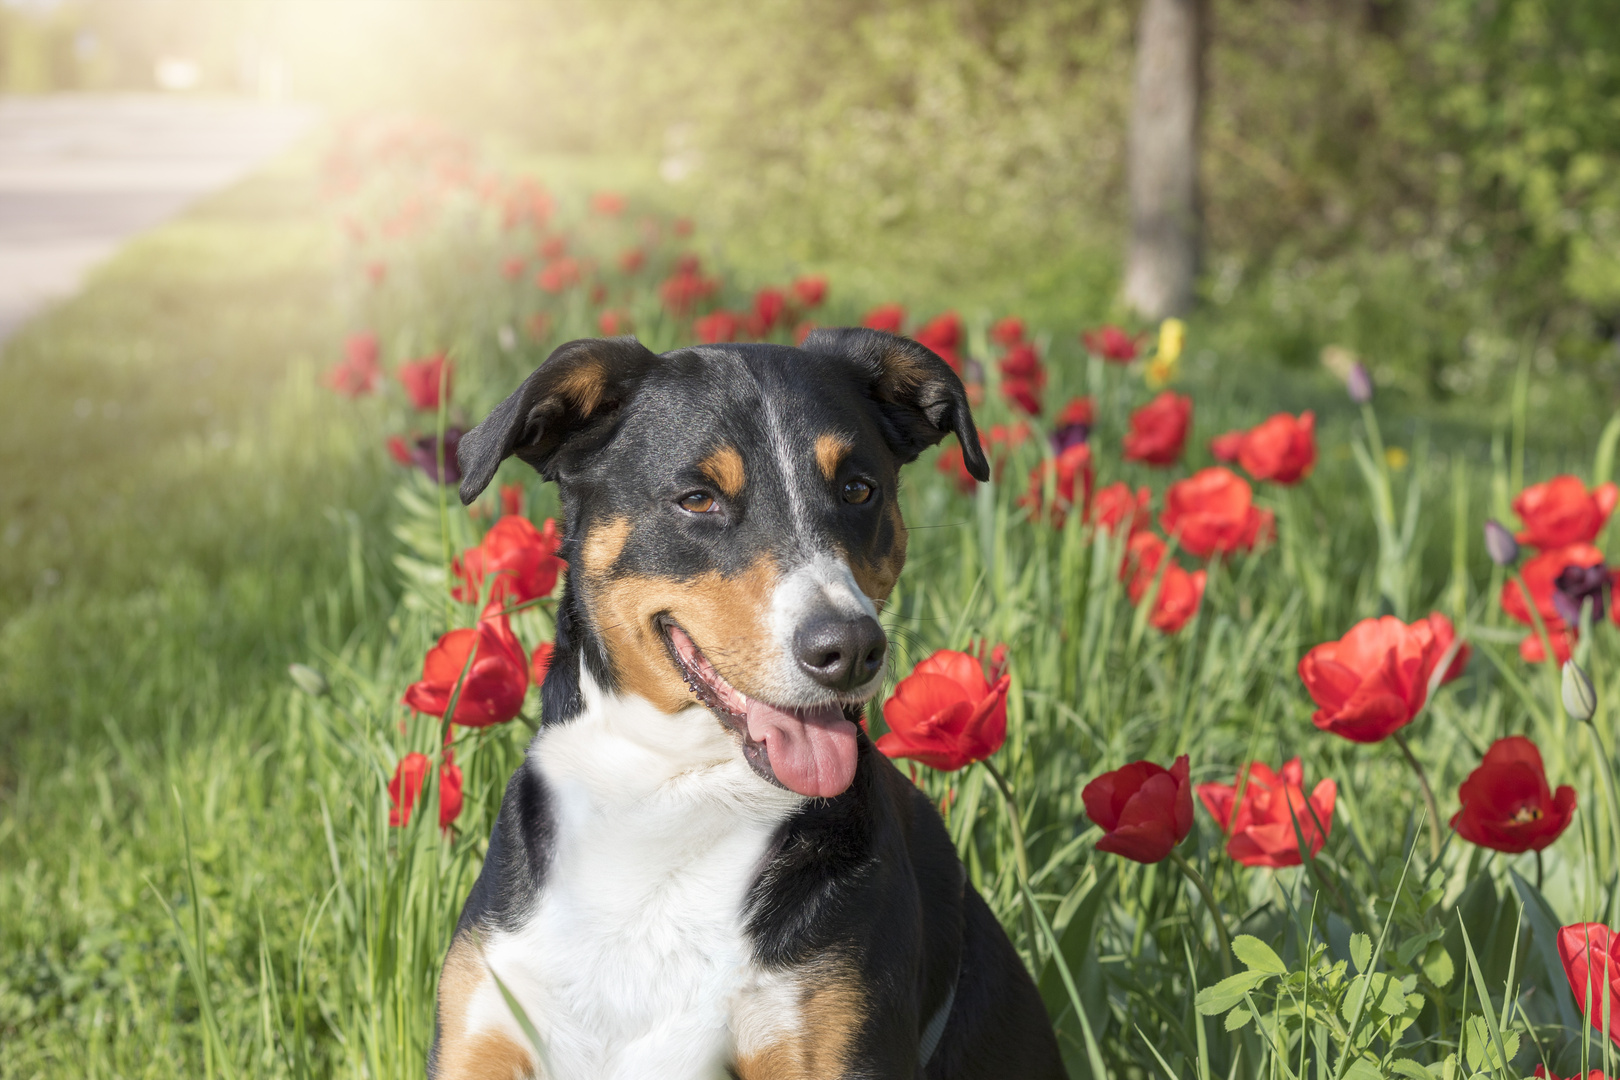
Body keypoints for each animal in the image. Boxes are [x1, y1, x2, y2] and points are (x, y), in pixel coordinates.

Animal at [437, 330, 1069, 1080]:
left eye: (857, 489)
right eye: (698, 499)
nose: (850, 648)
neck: (671, 798)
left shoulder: (827, 1042)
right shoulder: (481, 1031)